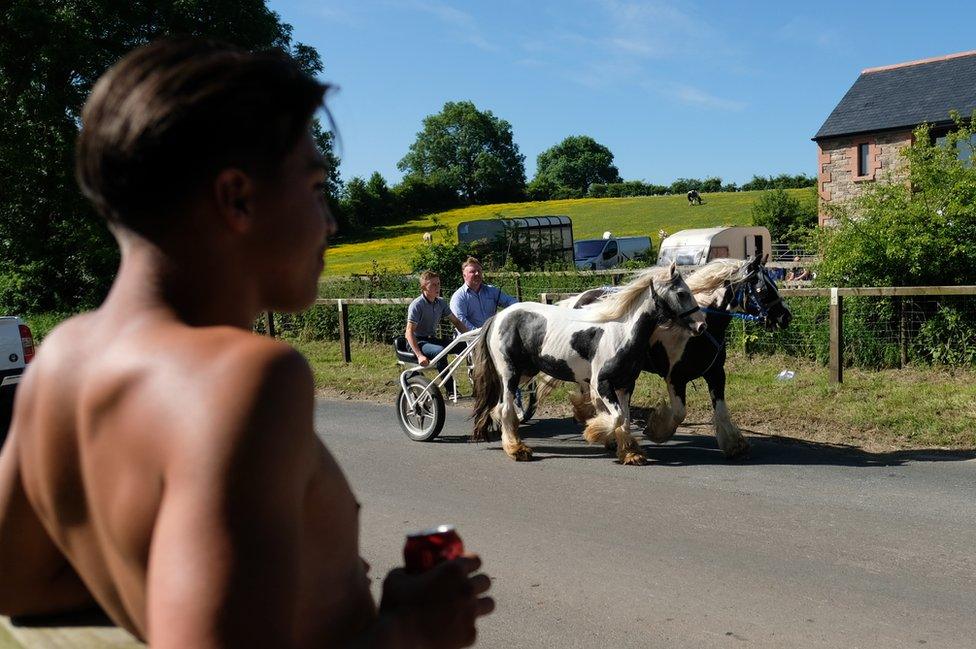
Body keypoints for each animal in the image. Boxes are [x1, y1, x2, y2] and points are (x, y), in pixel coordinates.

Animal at [468, 264, 704, 466]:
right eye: (681, 293)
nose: (702, 325)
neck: (622, 332)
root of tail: (497, 317)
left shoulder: (625, 385)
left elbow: (625, 419)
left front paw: (630, 453)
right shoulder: (603, 383)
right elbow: (617, 417)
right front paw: (595, 431)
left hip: (525, 372)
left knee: (498, 407)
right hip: (510, 373)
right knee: (506, 408)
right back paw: (517, 450)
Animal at [552, 256, 788, 458]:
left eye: (774, 284)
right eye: (763, 289)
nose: (786, 317)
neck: (697, 330)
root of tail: (579, 298)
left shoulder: (715, 374)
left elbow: (721, 411)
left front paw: (734, 445)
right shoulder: (675, 378)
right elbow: (679, 413)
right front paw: (656, 430)